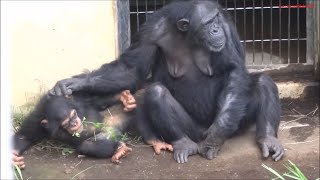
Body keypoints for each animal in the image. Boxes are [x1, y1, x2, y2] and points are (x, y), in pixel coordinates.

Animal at [50, 0, 284, 163]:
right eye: (207, 23)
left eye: (216, 19)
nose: (215, 29)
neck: (189, 35)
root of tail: (200, 133)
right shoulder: (150, 31)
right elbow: (131, 69)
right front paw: (74, 83)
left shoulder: (226, 29)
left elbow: (233, 69)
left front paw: (217, 135)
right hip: (191, 129)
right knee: (156, 92)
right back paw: (184, 144)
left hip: (236, 124)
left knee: (263, 82)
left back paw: (268, 140)